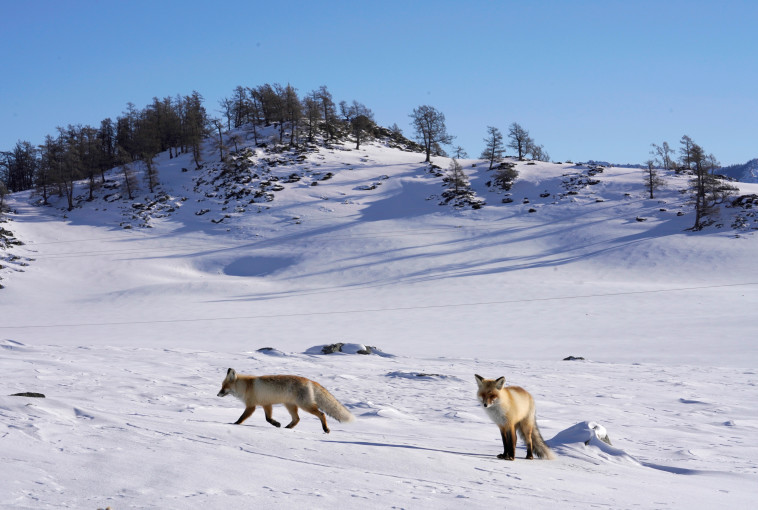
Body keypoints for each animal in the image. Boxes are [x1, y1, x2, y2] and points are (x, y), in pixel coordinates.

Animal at [215, 366, 354, 434]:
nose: (217, 394)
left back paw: (325, 429)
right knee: (297, 419)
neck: (247, 387)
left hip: (305, 405)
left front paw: (234, 424)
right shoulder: (266, 404)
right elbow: (268, 418)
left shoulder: (251, 406)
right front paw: (276, 424)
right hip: (290, 405)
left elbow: (242, 418)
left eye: (223, 387)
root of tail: (310, 380)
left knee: (322, 414)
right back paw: (287, 428)